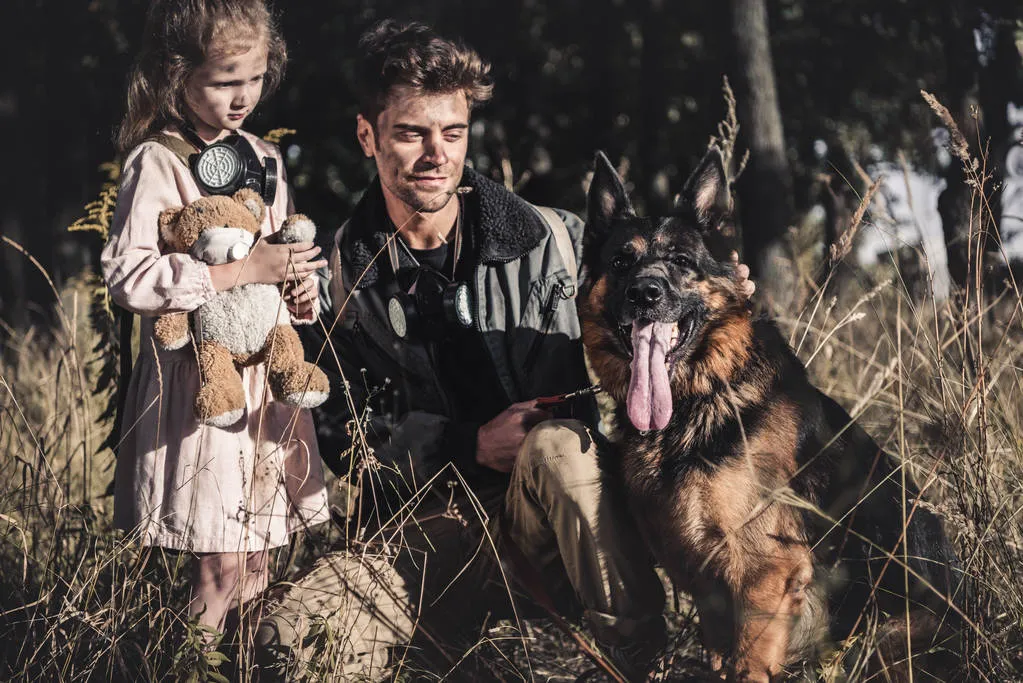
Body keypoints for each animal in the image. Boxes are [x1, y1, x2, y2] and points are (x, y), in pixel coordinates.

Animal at [581, 150, 961, 683]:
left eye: (681, 262)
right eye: (620, 262)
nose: (644, 294)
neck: (702, 399)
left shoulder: (763, 572)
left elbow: (746, 666)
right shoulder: (708, 585)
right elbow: (721, 658)